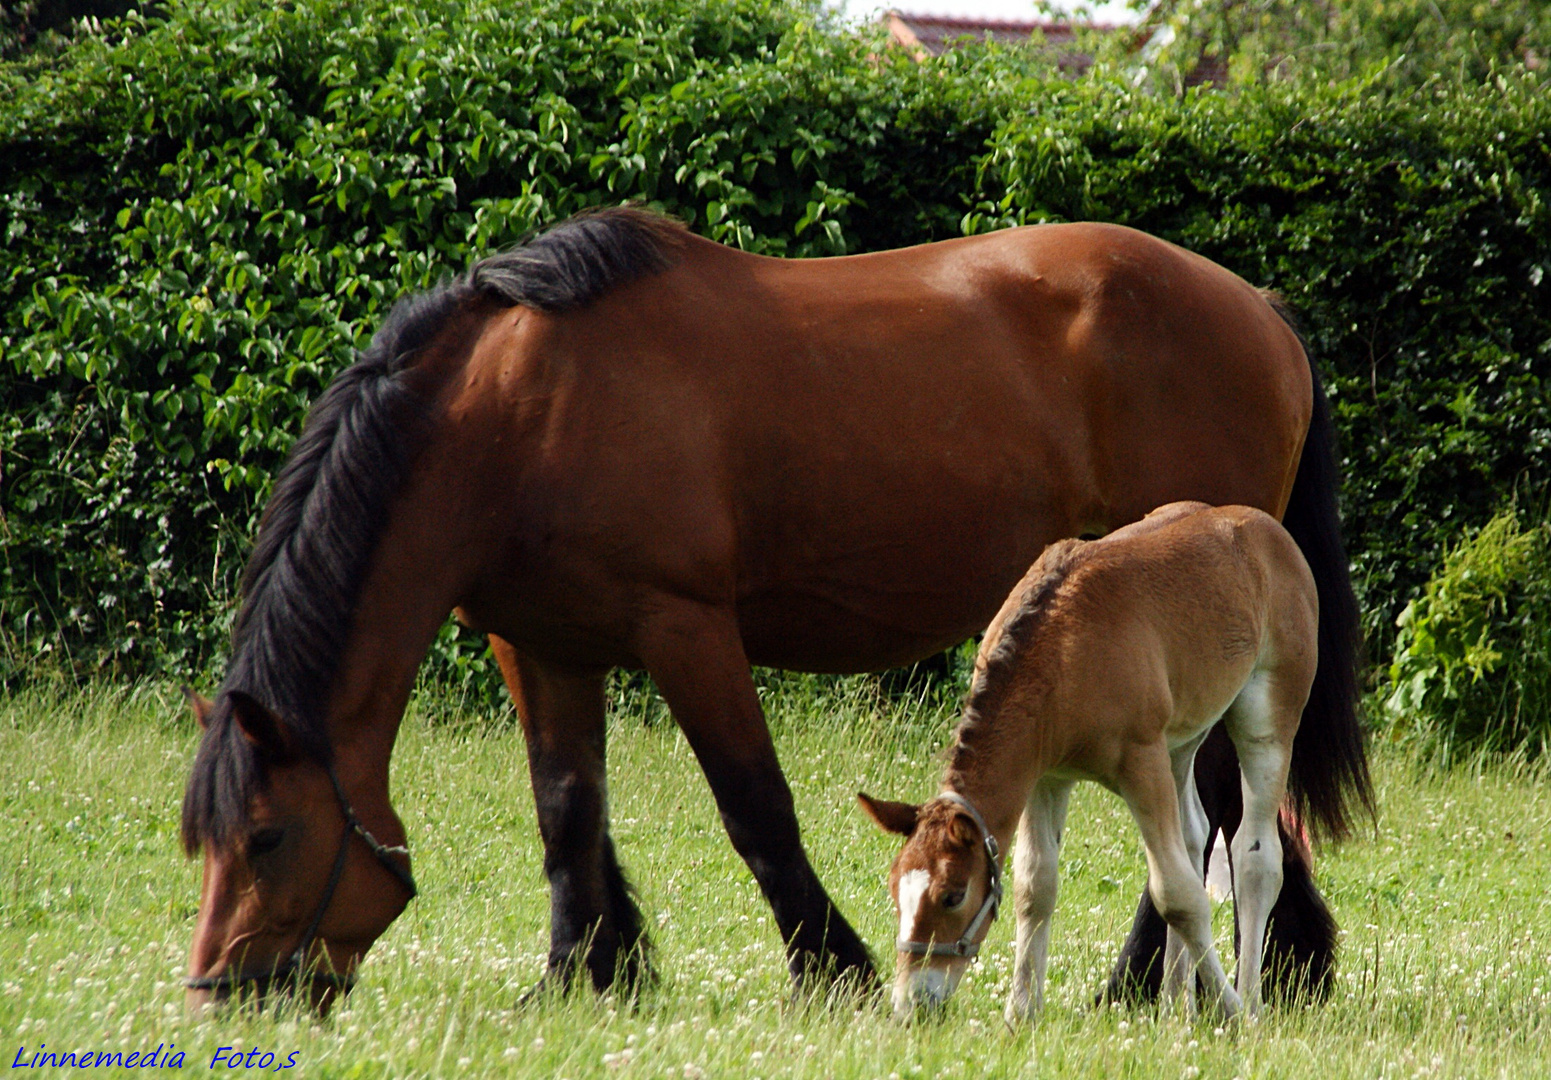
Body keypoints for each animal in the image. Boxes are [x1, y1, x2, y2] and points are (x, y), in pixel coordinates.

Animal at [862, 502, 1321, 1017]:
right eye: (895, 891)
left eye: (952, 895)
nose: (911, 1002)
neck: (1063, 650)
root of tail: (1265, 526)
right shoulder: (1045, 777)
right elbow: (1034, 887)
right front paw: (1021, 1014)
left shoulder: (1141, 762)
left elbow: (1178, 894)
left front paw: (1232, 1011)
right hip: (1182, 741)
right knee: (1194, 835)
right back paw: (1173, 1008)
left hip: (1267, 717)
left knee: (1254, 857)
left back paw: (1251, 1006)